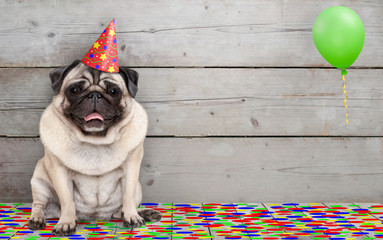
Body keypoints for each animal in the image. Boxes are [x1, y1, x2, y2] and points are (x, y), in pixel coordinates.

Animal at [28, 60, 162, 236]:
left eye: (113, 91)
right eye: (74, 90)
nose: (94, 95)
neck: (95, 140)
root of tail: (96, 216)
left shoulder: (132, 168)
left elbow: (128, 196)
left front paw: (132, 217)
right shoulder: (59, 171)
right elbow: (67, 200)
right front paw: (65, 223)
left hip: (138, 189)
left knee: (120, 211)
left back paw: (144, 213)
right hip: (39, 183)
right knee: (39, 206)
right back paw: (37, 220)